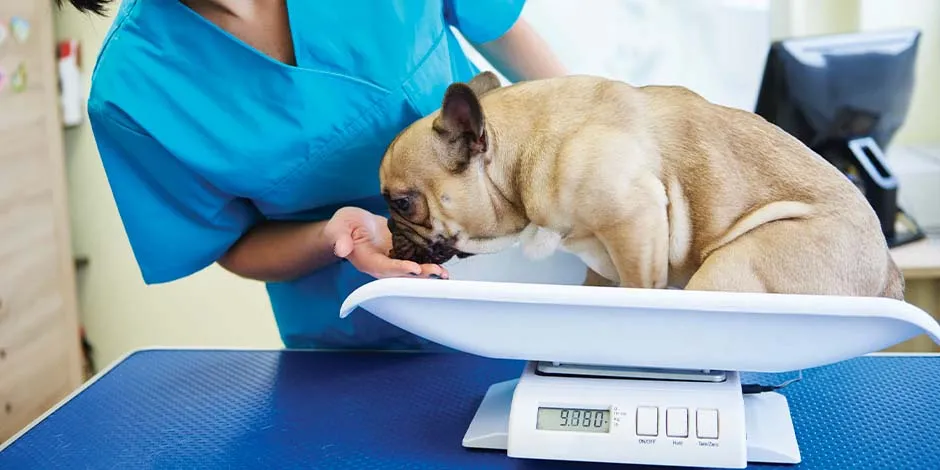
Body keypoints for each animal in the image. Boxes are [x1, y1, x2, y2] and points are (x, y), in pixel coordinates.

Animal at [378, 72, 908, 302]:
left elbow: (637, 283)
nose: (386, 230)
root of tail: (887, 271)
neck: (519, 151)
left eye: (403, 203)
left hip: (738, 264)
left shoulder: (634, 221)